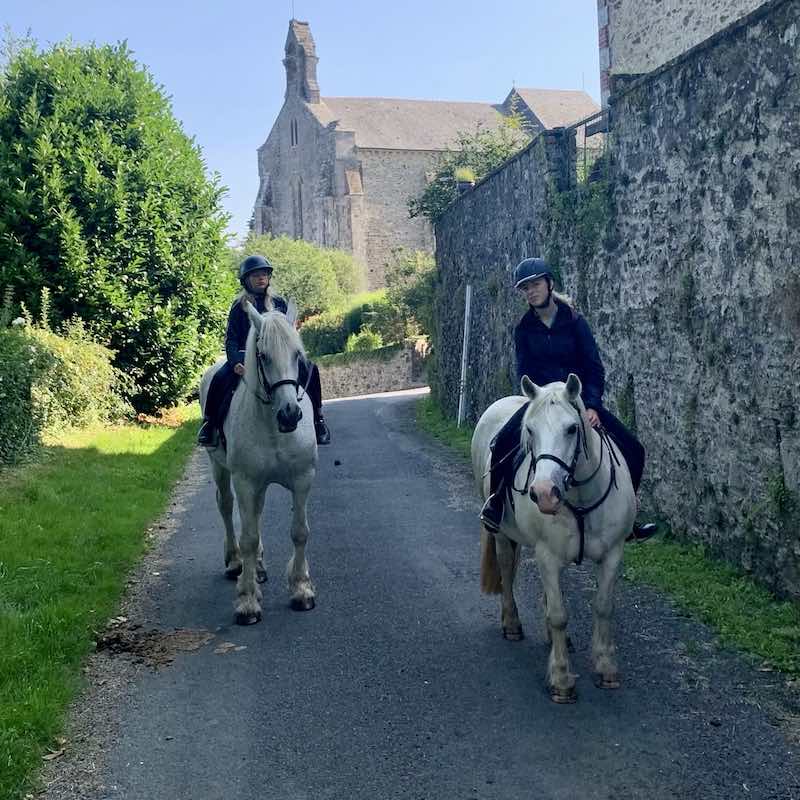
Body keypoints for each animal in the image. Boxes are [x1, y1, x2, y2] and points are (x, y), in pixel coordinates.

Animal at [198, 300, 318, 624]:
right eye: (263, 356)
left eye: (297, 354)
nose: (289, 414)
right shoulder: (246, 482)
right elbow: (249, 537)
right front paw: (248, 601)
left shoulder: (303, 478)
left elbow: (300, 532)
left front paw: (301, 590)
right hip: (221, 469)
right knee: (227, 507)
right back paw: (235, 563)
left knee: (258, 514)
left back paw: (260, 568)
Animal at [472, 374, 636, 700]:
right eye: (530, 430)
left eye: (572, 428)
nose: (545, 493)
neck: (582, 495)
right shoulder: (547, 554)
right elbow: (559, 615)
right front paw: (561, 680)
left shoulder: (613, 553)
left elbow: (603, 607)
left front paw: (606, 667)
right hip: (502, 535)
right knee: (507, 570)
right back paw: (512, 623)